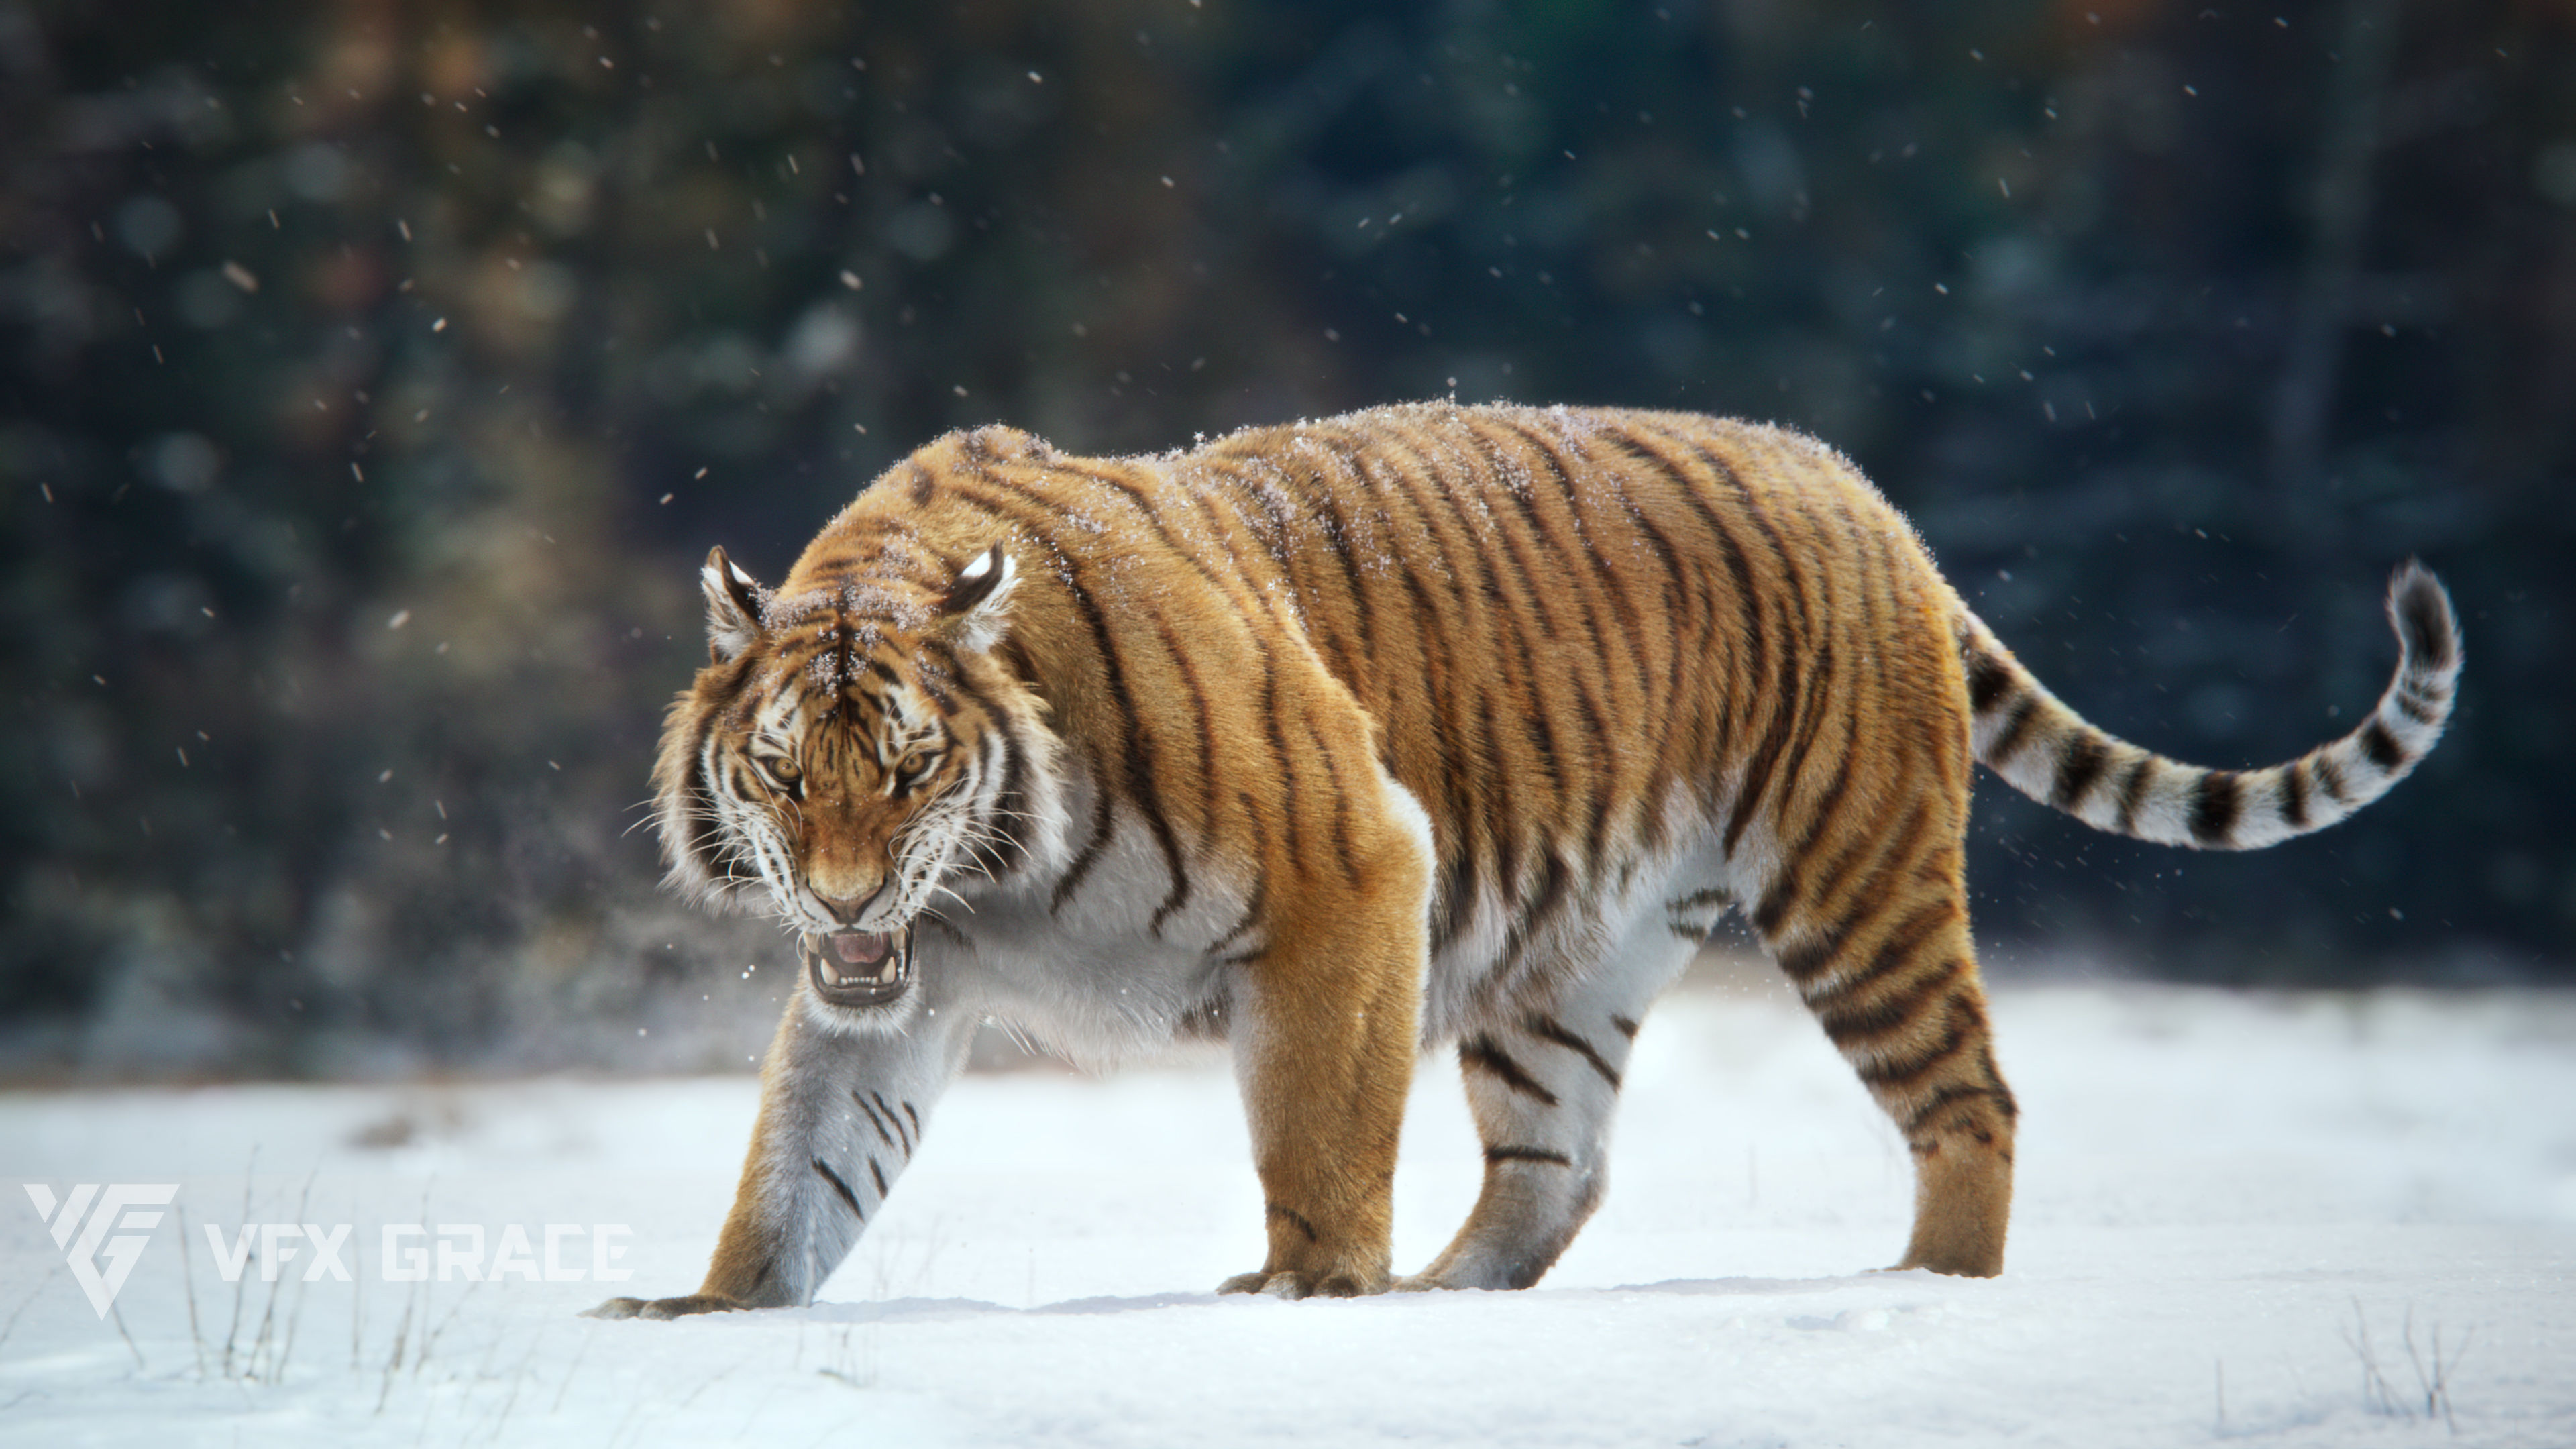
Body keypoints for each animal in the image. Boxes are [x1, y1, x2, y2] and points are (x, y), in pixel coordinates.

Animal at [588, 401, 2458, 1317]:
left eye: (909, 770)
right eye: (784, 774)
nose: (842, 898)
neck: (985, 880)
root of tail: (1867, 492)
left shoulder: (1354, 869)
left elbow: (1318, 1131)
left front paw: (1308, 1293)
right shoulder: (895, 995)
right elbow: (798, 1168)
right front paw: (712, 1312)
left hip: (1855, 883)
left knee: (1969, 1098)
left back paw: (1929, 1289)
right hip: (1570, 959)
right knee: (1558, 1167)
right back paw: (1448, 1298)